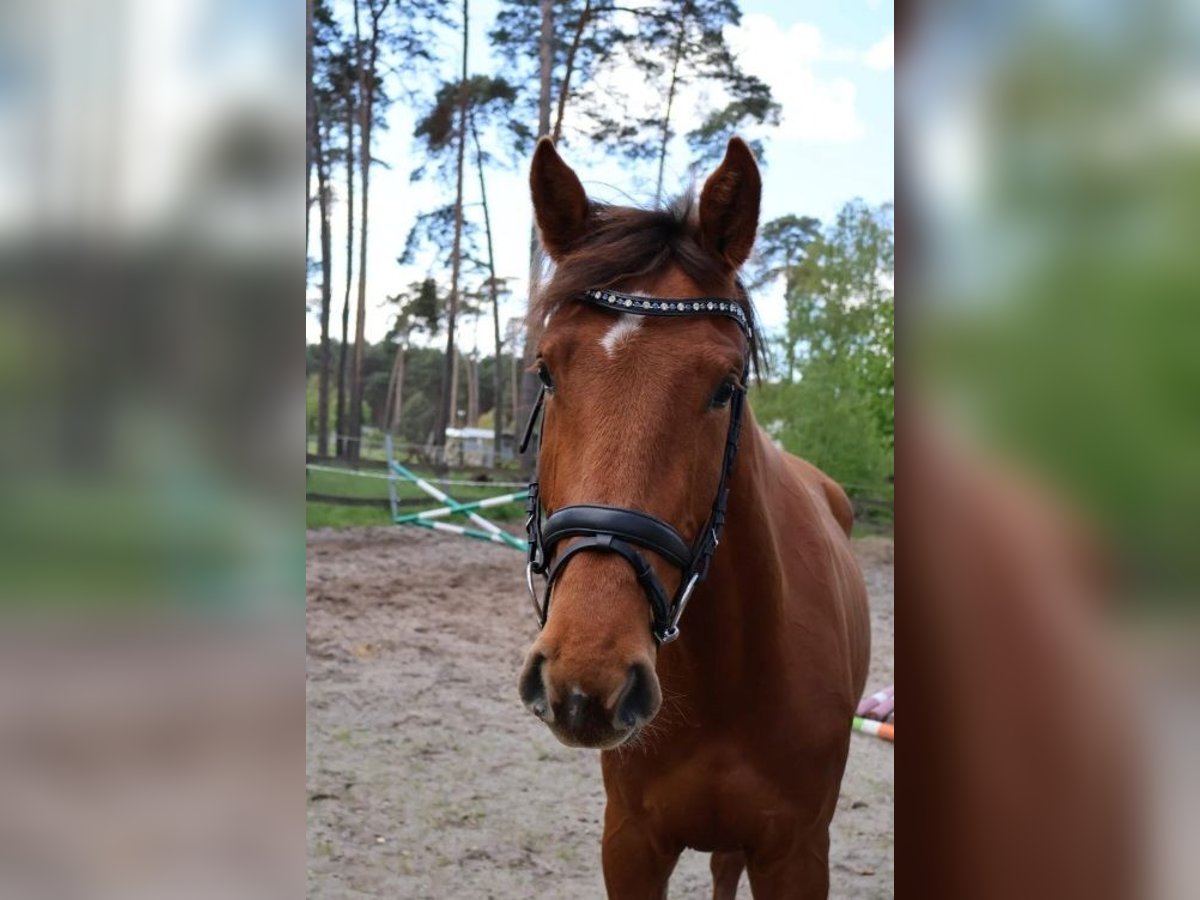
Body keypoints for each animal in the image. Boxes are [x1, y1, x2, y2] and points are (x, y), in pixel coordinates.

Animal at [516, 135, 873, 900]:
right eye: (547, 372)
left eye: (725, 387)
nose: (588, 679)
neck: (723, 682)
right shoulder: (630, 844)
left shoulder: (797, 853)